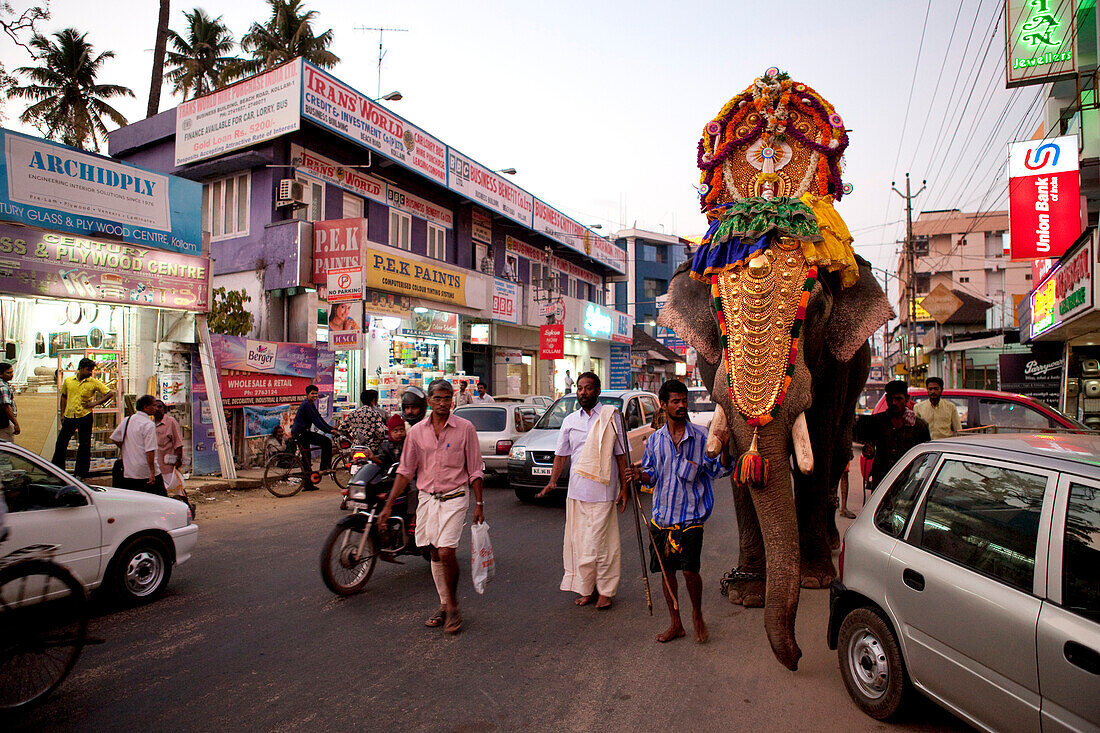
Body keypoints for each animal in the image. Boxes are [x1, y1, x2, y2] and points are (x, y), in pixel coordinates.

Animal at [655, 69, 888, 669]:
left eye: (816, 307)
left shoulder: (835, 361)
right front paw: (745, 593)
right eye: (717, 307)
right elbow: (737, 458)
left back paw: (828, 551)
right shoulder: (711, 362)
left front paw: (815, 581)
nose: (801, 655)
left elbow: (820, 442)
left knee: (837, 451)